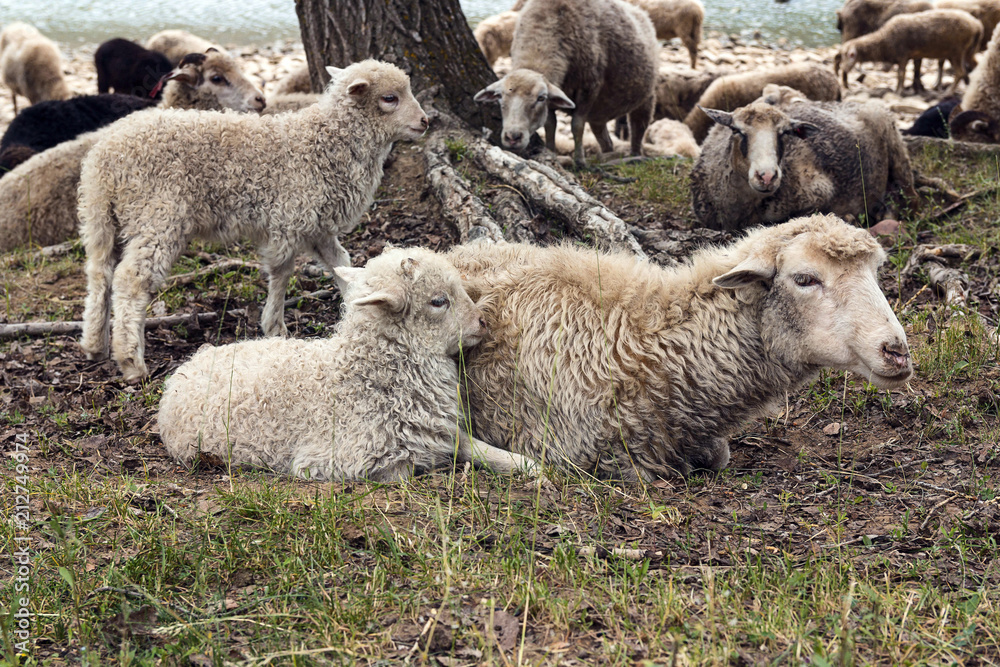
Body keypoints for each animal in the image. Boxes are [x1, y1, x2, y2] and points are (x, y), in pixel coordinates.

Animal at [78, 60, 428, 382]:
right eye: (389, 98)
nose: (425, 121)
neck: (324, 143)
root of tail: (106, 157)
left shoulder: (318, 225)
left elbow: (340, 263)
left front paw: (355, 300)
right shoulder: (290, 217)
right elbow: (282, 272)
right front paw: (275, 326)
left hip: (100, 217)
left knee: (99, 273)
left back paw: (95, 344)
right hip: (157, 214)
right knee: (131, 279)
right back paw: (131, 362)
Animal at [158, 246, 534, 481]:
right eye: (438, 301)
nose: (482, 323)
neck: (359, 376)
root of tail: (186, 367)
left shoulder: (439, 430)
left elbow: (473, 445)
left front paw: (526, 464)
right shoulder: (336, 460)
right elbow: (411, 467)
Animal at [473, 0, 658, 166]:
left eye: (540, 98)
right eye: (499, 96)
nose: (513, 137)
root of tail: (640, 11)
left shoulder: (589, 87)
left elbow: (577, 125)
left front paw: (580, 162)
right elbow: (550, 125)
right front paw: (551, 153)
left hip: (647, 98)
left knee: (638, 128)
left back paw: (635, 156)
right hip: (600, 114)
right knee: (604, 137)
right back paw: (608, 155)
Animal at [689, 99, 917, 231]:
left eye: (784, 133)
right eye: (737, 130)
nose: (767, 176)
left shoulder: (818, 191)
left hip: (896, 146)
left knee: (911, 199)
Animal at [835, 10, 982, 95]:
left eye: (849, 56)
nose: (844, 70)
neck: (884, 41)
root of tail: (977, 25)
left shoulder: (902, 55)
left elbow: (901, 74)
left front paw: (898, 91)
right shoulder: (916, 55)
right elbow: (915, 73)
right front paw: (915, 89)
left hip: (956, 51)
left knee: (960, 72)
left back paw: (948, 93)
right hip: (968, 51)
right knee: (975, 66)